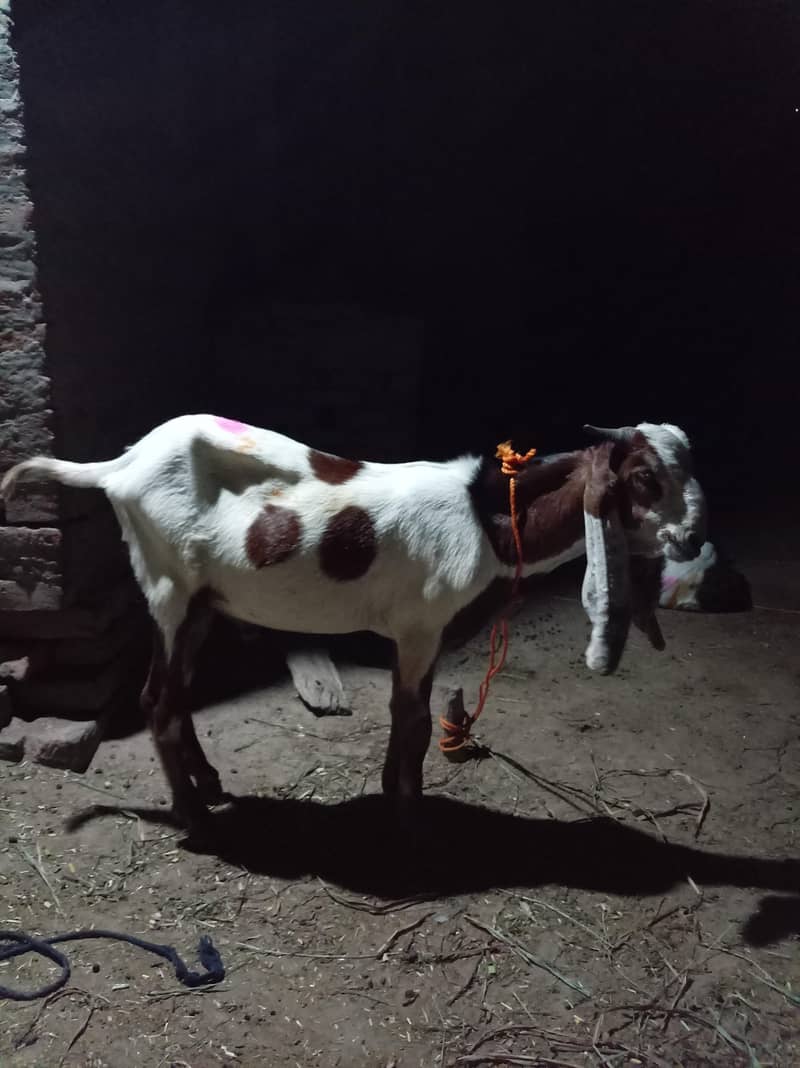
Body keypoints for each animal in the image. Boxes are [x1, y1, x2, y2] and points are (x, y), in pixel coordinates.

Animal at [1, 415, 707, 831]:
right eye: (644, 476)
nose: (693, 538)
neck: (485, 516)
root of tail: (121, 465)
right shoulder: (421, 625)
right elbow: (413, 717)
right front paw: (408, 810)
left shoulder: (423, 632)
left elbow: (409, 710)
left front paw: (400, 794)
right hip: (169, 587)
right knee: (156, 699)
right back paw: (194, 814)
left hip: (202, 601)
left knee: (174, 699)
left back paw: (209, 785)